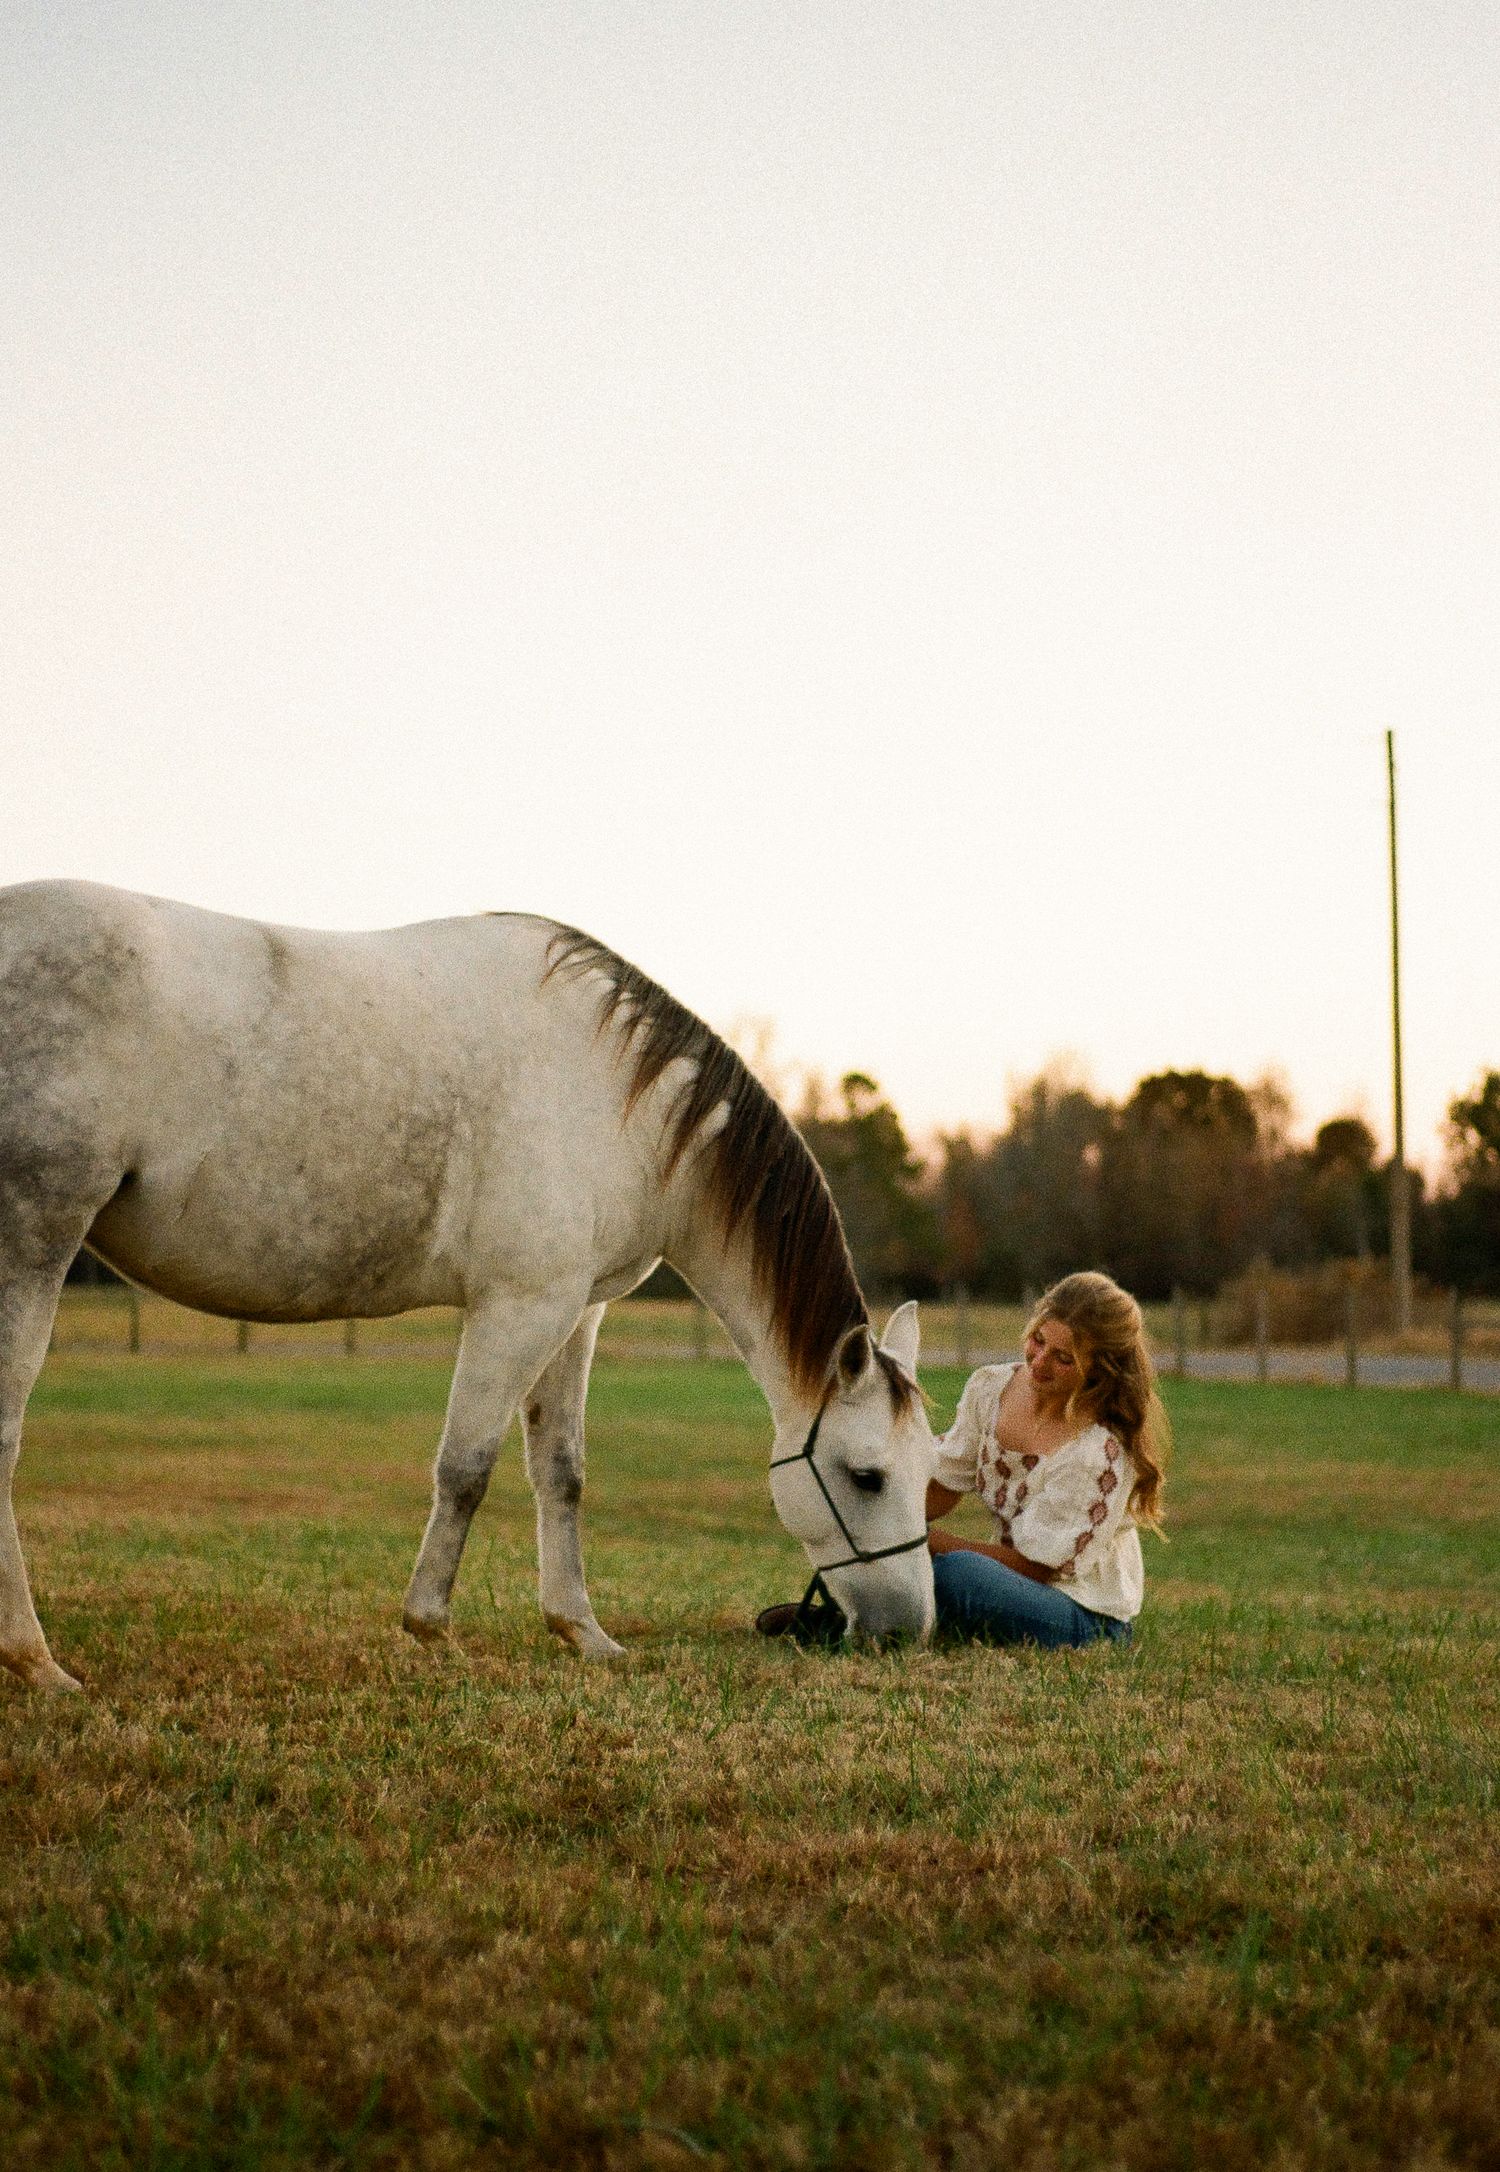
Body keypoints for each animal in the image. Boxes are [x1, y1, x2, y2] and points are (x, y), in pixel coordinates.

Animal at [0, 880, 936, 1690]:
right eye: (866, 1477)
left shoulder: (577, 1311)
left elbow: (562, 1472)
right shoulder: (521, 1306)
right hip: (33, 1245)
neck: (617, 1098)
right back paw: (37, 1662)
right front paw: (430, 1625)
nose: (910, 1632)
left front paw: (581, 1631)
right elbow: (467, 1466)